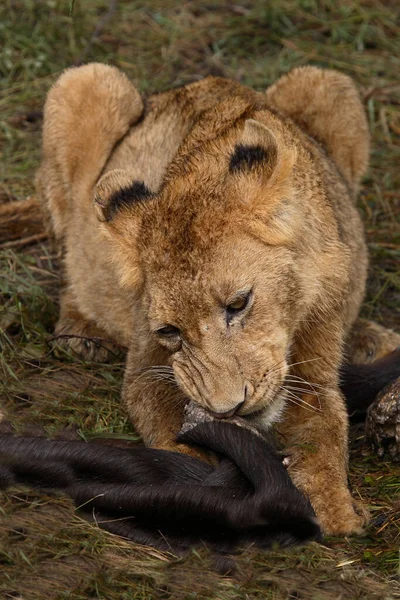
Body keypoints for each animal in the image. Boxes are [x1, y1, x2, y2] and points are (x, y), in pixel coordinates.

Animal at [32, 64, 400, 536]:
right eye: (169, 330)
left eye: (239, 303)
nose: (230, 408)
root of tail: (202, 82)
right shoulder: (148, 369)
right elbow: (174, 435)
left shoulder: (316, 361)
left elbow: (323, 438)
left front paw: (338, 513)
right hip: (86, 81)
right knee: (68, 254)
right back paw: (80, 333)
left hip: (326, 83)